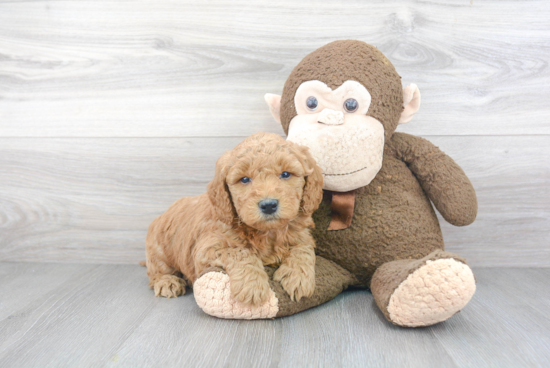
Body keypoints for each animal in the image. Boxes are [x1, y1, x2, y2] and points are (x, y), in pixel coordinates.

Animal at [147, 132, 326, 304]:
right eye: (244, 179)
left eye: (286, 174)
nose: (268, 205)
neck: (268, 233)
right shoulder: (206, 249)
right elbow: (239, 252)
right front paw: (252, 285)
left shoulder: (302, 236)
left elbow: (303, 250)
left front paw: (298, 277)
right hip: (159, 250)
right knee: (157, 272)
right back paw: (168, 282)